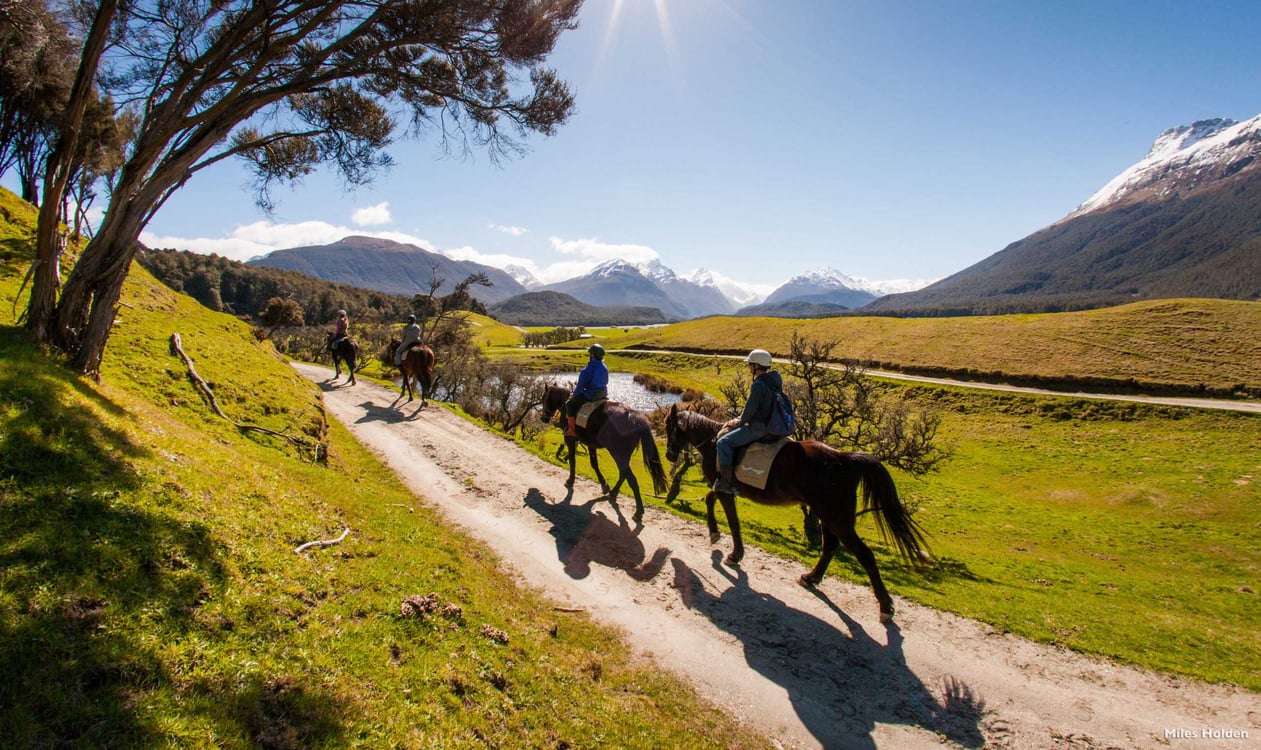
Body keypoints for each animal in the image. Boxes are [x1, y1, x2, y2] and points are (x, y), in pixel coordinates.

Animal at [537, 383, 670, 519]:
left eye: (543, 398)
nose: (543, 418)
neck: (565, 403)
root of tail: (634, 418)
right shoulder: (590, 444)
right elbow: (594, 464)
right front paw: (604, 485)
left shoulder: (570, 439)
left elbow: (573, 460)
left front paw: (570, 481)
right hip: (623, 455)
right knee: (624, 474)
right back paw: (613, 493)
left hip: (618, 453)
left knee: (631, 479)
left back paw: (638, 512)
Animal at [665, 405, 933, 622]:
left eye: (669, 428)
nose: (669, 455)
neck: (713, 442)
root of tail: (844, 459)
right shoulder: (722, 487)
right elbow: (710, 500)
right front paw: (715, 535)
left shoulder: (724, 488)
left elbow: (732, 520)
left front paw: (732, 552)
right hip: (827, 514)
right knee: (830, 546)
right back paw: (811, 578)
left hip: (836, 516)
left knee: (863, 554)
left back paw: (885, 607)